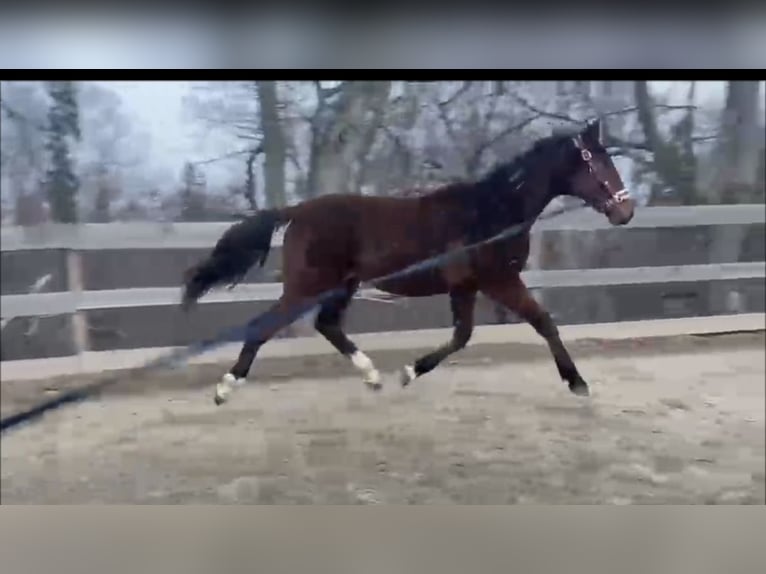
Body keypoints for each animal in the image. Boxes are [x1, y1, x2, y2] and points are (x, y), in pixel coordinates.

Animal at [182, 121, 636, 404]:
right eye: (597, 163)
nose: (625, 212)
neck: (492, 211)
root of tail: (298, 210)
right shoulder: (499, 280)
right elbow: (543, 322)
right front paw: (578, 383)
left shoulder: (466, 286)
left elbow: (462, 336)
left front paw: (409, 371)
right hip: (307, 285)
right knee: (265, 326)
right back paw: (224, 388)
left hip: (341, 286)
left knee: (327, 325)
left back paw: (372, 376)